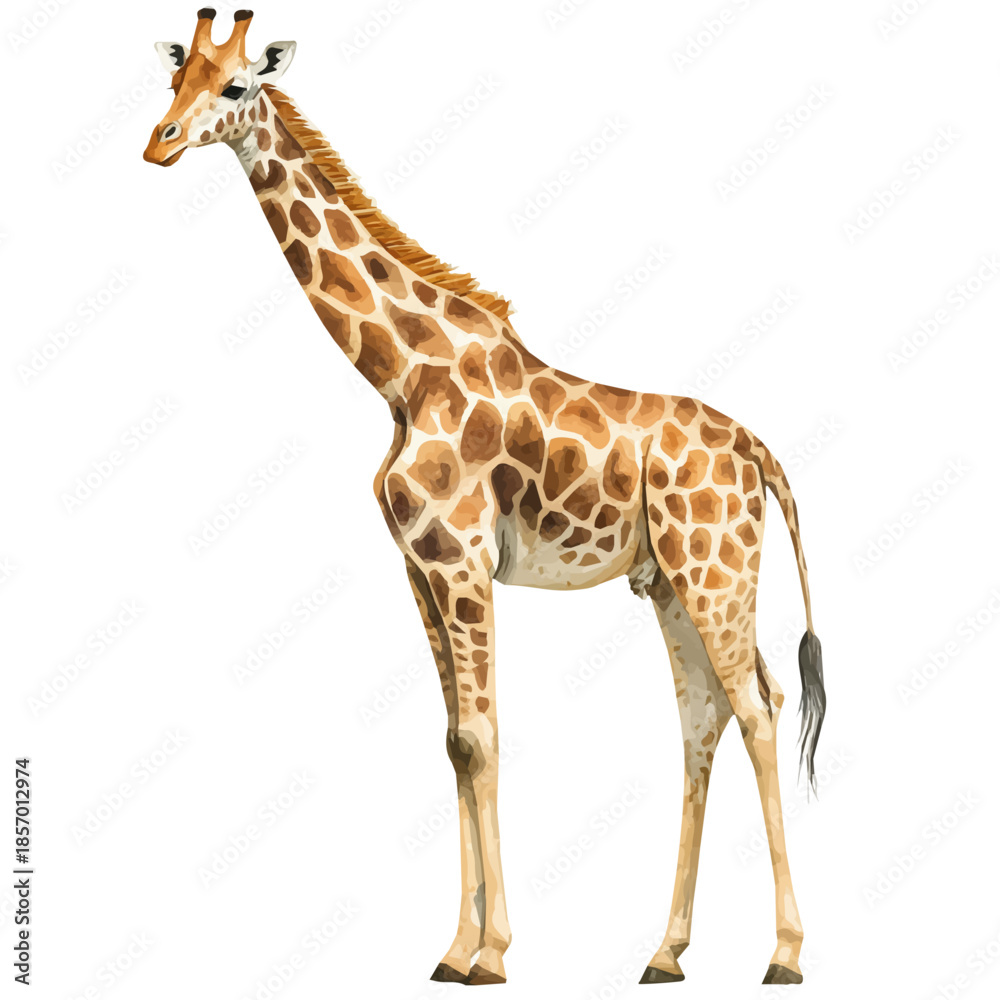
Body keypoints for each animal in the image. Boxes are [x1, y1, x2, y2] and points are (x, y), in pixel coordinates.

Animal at [144, 11, 826, 987]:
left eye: (235, 85)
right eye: (174, 81)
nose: (159, 143)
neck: (400, 373)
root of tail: (759, 451)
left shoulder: (463, 559)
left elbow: (482, 735)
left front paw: (494, 954)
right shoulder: (419, 566)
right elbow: (452, 740)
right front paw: (453, 949)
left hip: (717, 570)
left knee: (758, 710)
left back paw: (785, 955)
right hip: (672, 582)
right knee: (704, 717)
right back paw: (665, 952)